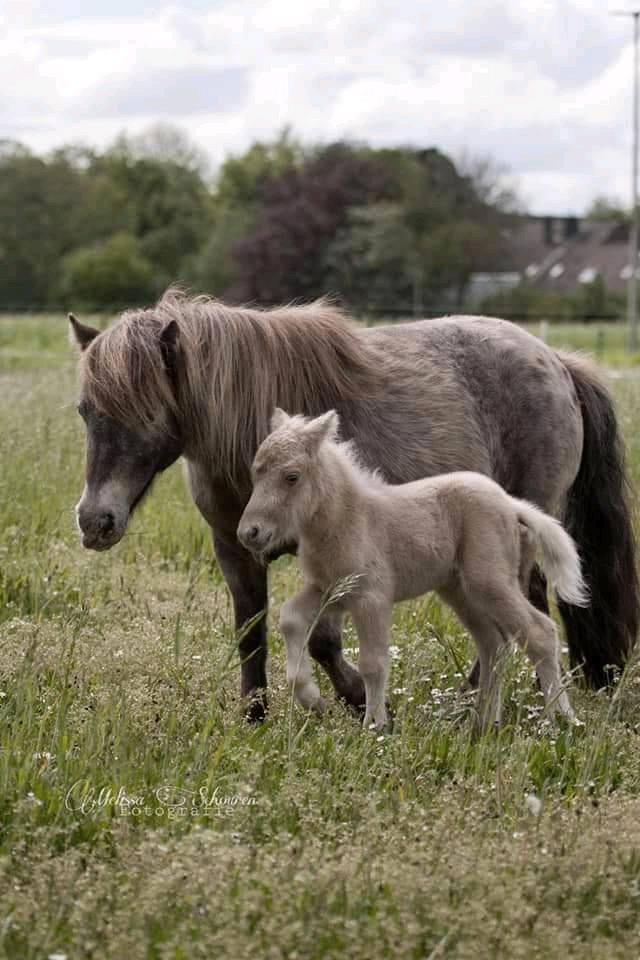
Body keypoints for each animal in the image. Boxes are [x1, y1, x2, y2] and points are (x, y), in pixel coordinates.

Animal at [238, 404, 588, 728]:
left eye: (291, 477)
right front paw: (313, 699)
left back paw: (562, 720)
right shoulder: (329, 590)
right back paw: (484, 723)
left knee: (540, 632)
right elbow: (290, 617)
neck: (347, 518)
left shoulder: (371, 597)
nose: (249, 533)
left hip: (489, 580)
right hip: (458, 589)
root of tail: (511, 504)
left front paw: (375, 727)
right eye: (255, 472)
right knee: (494, 643)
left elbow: (373, 664)